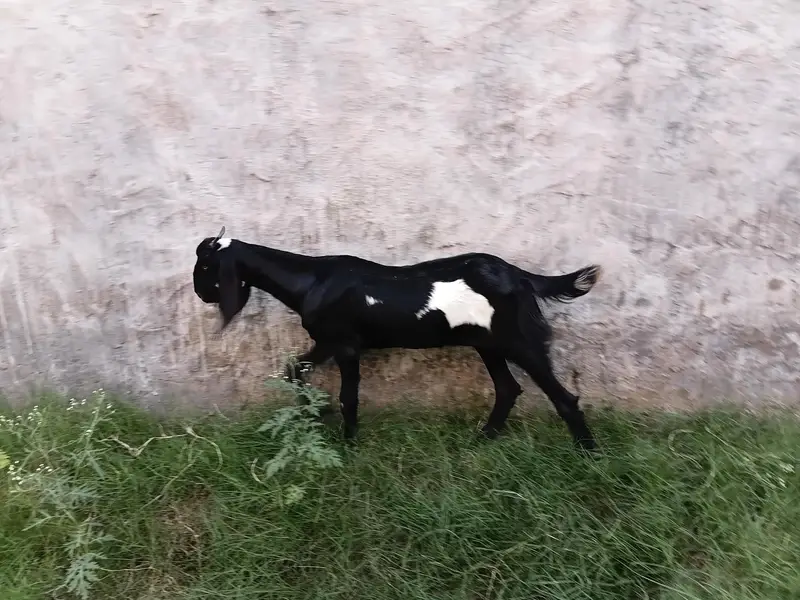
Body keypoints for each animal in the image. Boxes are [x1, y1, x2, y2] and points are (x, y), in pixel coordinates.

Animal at [193, 226, 603, 451]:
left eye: (205, 266)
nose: (200, 294)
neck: (312, 280)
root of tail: (519, 276)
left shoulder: (345, 345)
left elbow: (349, 396)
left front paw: (349, 443)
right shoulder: (326, 341)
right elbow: (294, 369)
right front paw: (314, 413)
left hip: (517, 339)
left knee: (562, 396)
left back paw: (588, 454)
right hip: (487, 343)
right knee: (507, 389)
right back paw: (482, 439)